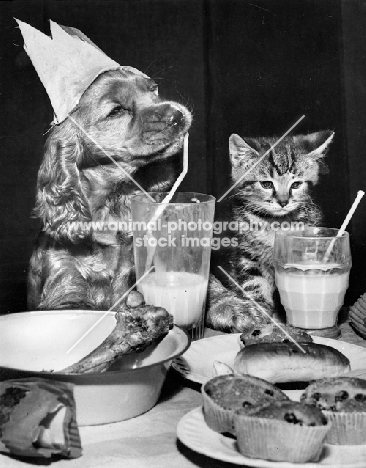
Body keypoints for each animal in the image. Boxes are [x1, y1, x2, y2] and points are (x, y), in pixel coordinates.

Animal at [207, 128, 334, 332]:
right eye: (266, 184)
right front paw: (259, 308)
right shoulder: (246, 253)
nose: (283, 202)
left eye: (296, 185)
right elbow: (254, 281)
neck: (274, 224)